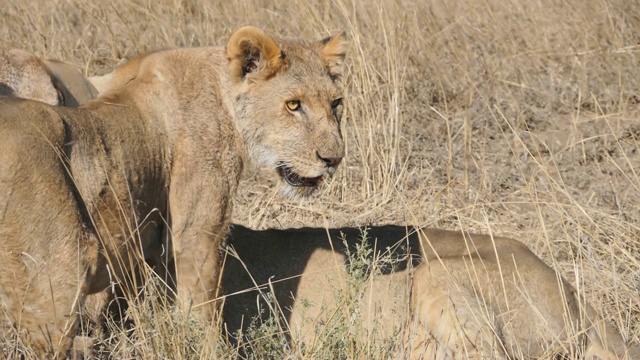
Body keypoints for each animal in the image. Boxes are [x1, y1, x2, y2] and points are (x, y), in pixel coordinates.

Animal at [0, 26, 344, 358]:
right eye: (293, 105)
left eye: (336, 103)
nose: (334, 159)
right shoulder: (196, 231)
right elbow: (202, 307)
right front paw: (211, 350)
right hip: (59, 267)